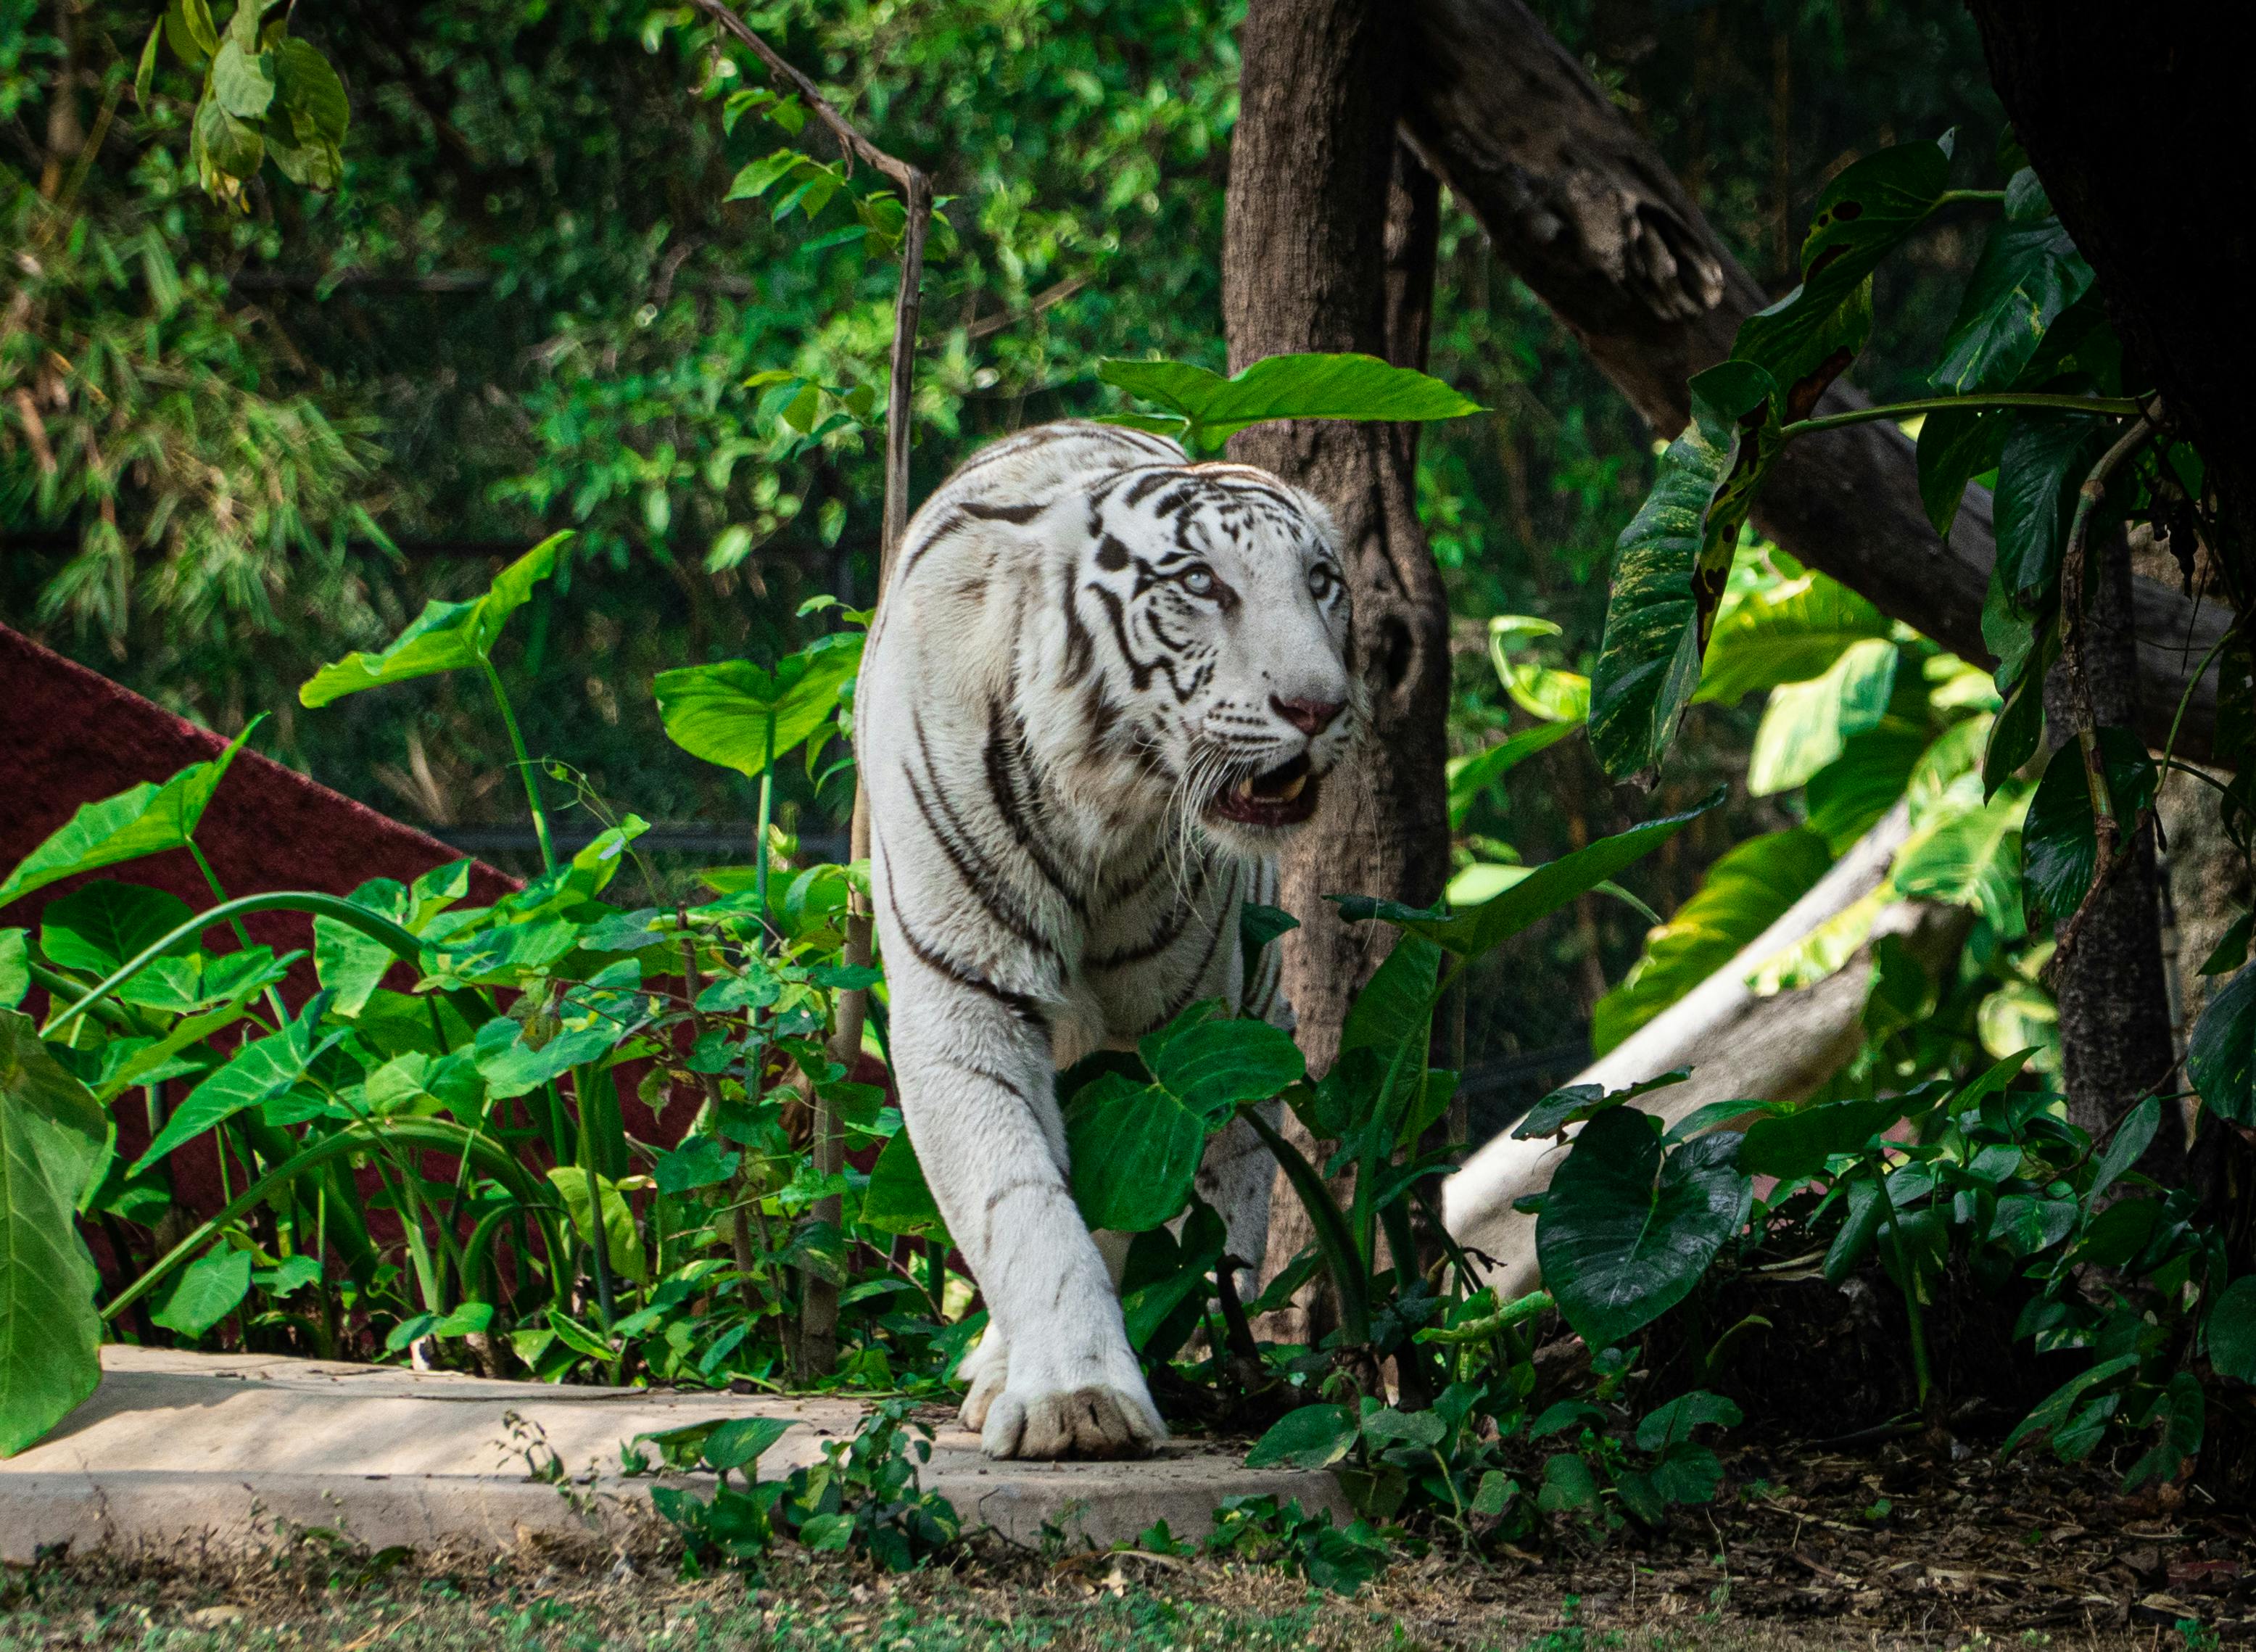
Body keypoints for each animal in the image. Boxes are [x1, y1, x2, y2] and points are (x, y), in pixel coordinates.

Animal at [858, 419, 1364, 1460]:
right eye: (1201, 582)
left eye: (1321, 581)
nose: (1318, 706)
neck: (1100, 804)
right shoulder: (962, 996)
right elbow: (1017, 1199)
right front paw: (1072, 1402)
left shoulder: (1162, 1044)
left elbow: (1115, 1199)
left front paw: (1072, 1390)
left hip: (1258, 1024)